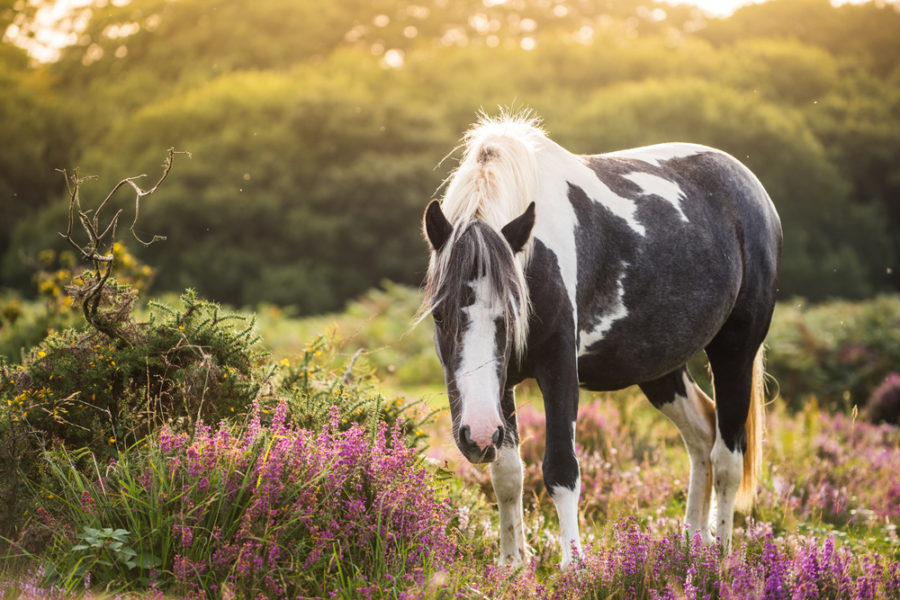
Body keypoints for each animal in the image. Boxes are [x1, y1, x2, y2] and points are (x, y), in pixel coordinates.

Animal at [422, 112, 780, 568]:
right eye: (439, 314)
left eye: (513, 314)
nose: (478, 435)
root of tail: (752, 189)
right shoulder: (500, 386)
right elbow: (507, 473)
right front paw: (512, 563)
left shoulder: (558, 368)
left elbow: (561, 470)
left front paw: (574, 566)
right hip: (660, 368)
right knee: (702, 436)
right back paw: (690, 545)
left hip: (735, 351)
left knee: (729, 456)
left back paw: (718, 556)